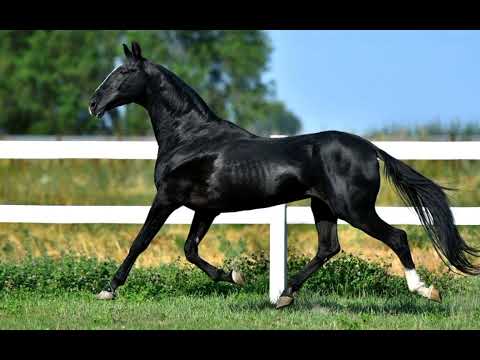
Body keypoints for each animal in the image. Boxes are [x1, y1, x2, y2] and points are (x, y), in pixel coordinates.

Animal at [89, 41, 480, 306]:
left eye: (124, 73)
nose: (94, 104)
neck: (190, 137)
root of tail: (371, 149)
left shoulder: (167, 198)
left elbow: (141, 241)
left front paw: (108, 289)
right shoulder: (207, 208)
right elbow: (190, 250)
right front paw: (234, 276)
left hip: (354, 209)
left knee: (396, 237)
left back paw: (425, 290)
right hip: (323, 207)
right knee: (328, 248)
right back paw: (285, 296)